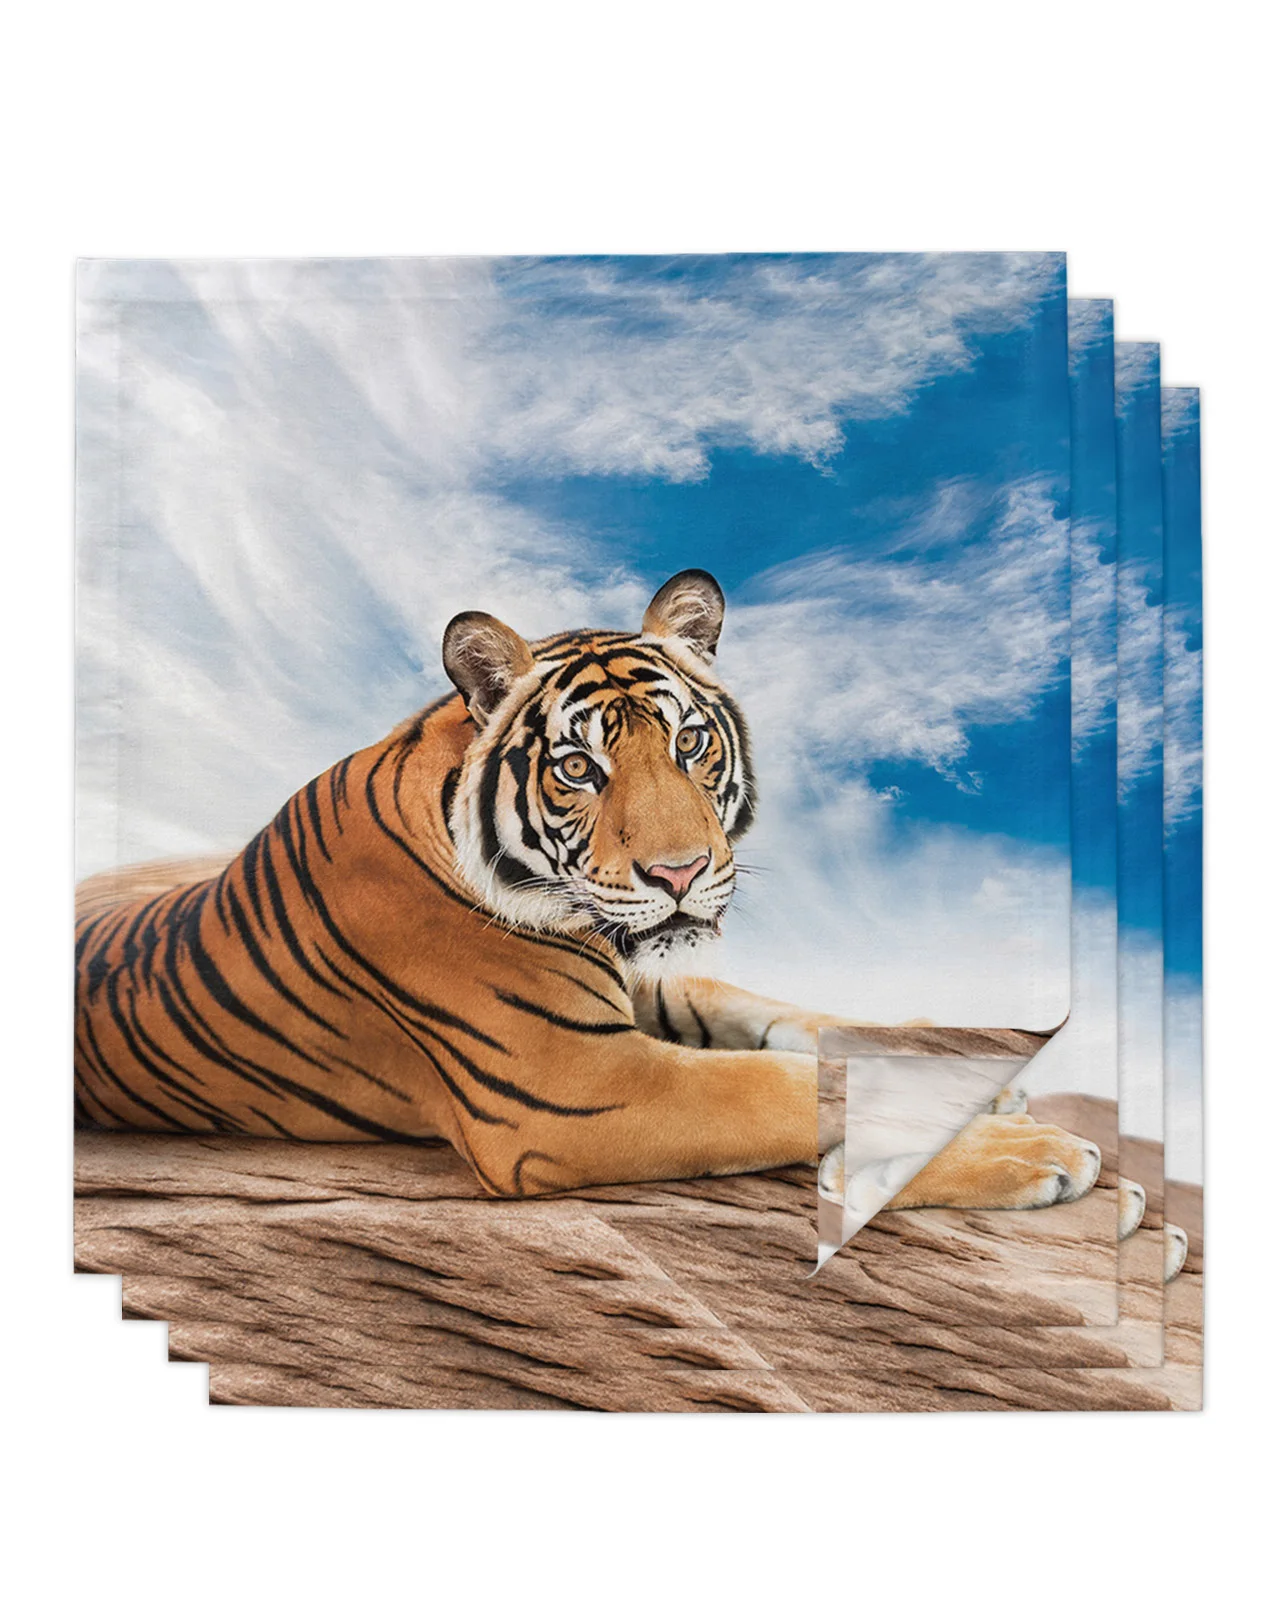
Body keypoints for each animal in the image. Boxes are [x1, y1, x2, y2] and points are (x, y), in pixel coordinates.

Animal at [74, 568, 1101, 1206]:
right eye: (578, 769)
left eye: (689, 742)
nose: (682, 873)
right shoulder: (579, 1089)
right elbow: (784, 1089)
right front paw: (1036, 1150)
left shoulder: (644, 983)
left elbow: (793, 1027)